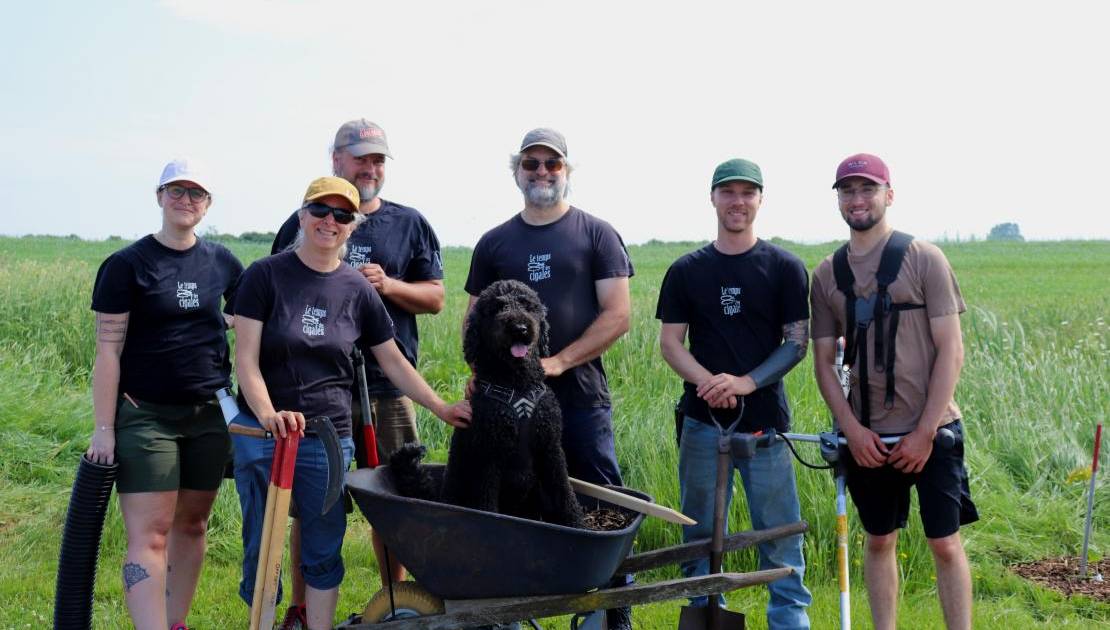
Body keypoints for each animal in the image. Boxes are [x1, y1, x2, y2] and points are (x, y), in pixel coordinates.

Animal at [390, 280, 586, 525]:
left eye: (527, 305)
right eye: (497, 308)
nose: (519, 328)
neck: (518, 384)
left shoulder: (550, 448)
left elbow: (565, 492)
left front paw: (578, 524)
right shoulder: (490, 456)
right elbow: (488, 504)